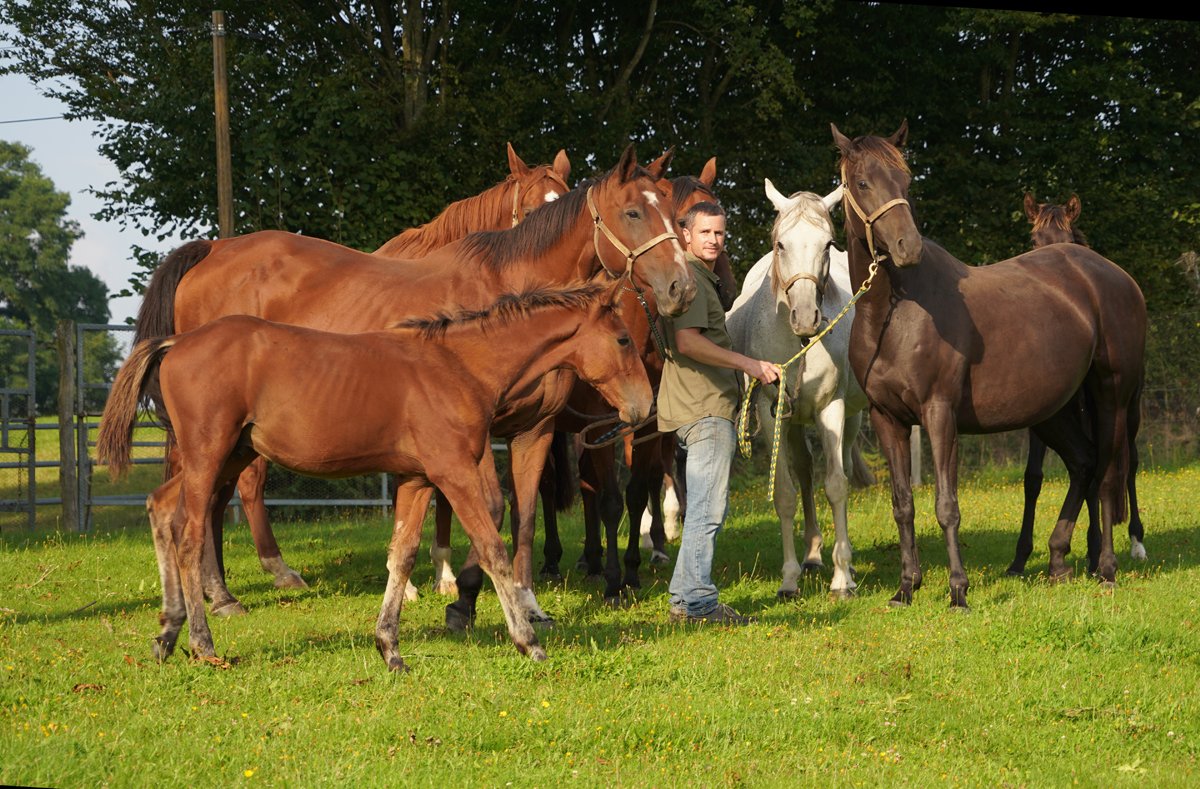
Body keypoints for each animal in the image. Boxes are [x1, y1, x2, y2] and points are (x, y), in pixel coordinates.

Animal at [97, 282, 653, 672]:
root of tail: (176, 341)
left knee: (160, 509)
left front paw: (390, 648)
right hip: (209, 455)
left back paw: (167, 634)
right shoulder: (453, 472)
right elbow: (492, 548)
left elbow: (401, 556)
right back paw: (201, 641)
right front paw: (528, 641)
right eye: (623, 338)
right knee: (189, 535)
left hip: (224, 456)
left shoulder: (416, 479)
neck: (457, 366)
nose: (643, 407)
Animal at [134, 145, 694, 618]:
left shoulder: (533, 431)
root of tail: (211, 251)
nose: (680, 287)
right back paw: (228, 589)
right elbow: (486, 507)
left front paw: (523, 599)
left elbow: (525, 514)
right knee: (209, 493)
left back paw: (220, 590)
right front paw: (460, 592)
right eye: (634, 212)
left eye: (670, 211)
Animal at [726, 179, 868, 599]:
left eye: (827, 243)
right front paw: (789, 578)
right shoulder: (771, 411)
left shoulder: (831, 408)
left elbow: (836, 485)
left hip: (851, 418)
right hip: (790, 422)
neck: (800, 343)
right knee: (804, 472)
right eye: (781, 244)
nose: (806, 317)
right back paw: (813, 554)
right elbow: (786, 494)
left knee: (844, 467)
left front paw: (842, 577)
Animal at [1008, 192, 1147, 575]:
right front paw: (1020, 557)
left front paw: (1095, 549)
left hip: (1129, 410)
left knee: (1130, 463)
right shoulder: (1046, 416)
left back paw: (1136, 540)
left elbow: (1098, 471)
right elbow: (1034, 478)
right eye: (1034, 241)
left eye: (1069, 241)